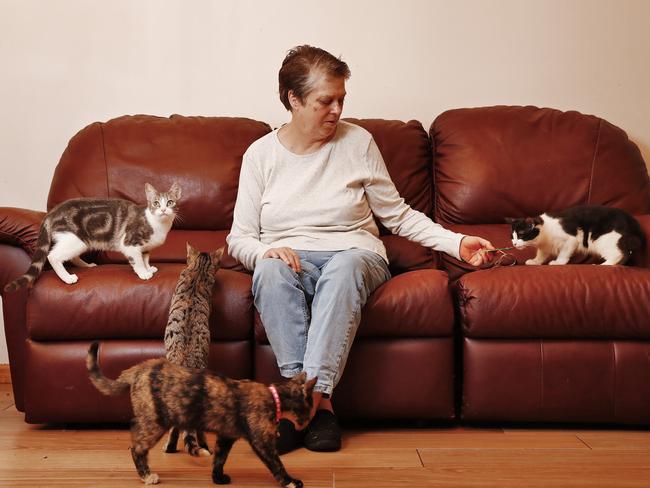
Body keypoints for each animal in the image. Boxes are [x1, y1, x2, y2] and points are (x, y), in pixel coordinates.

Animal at [3, 182, 181, 290]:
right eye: (156, 203)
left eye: (170, 202)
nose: (163, 210)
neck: (158, 224)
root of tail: (52, 212)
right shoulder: (130, 243)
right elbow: (137, 260)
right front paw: (143, 273)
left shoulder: (145, 247)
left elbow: (145, 258)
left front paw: (149, 268)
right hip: (74, 239)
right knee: (53, 256)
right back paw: (67, 278)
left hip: (80, 241)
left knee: (71, 256)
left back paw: (86, 266)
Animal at [86, 344, 316, 488]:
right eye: (309, 409)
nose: (306, 424)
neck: (274, 396)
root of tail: (140, 367)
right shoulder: (262, 442)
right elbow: (276, 464)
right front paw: (291, 481)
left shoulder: (226, 436)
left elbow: (219, 458)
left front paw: (218, 478)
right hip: (156, 421)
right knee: (137, 446)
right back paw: (147, 476)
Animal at [506, 206, 644, 266]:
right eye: (512, 237)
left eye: (521, 235)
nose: (514, 243)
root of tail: (631, 222)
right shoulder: (545, 246)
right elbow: (541, 255)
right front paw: (535, 261)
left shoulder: (571, 241)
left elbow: (564, 253)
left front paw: (558, 262)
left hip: (603, 240)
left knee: (618, 254)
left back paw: (604, 265)